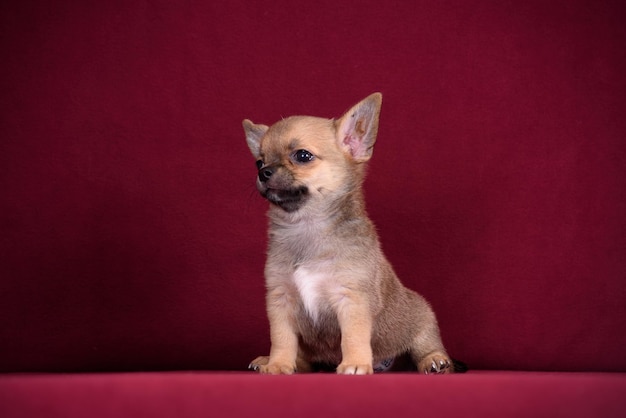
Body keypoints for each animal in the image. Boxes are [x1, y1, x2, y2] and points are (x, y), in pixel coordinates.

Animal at [241, 94, 450, 376]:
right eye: (259, 162)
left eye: (302, 155)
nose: (263, 172)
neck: (307, 226)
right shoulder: (280, 300)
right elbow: (282, 339)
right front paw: (278, 365)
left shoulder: (351, 299)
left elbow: (352, 336)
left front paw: (355, 364)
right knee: (303, 358)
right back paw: (271, 361)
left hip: (421, 322)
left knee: (426, 347)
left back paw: (435, 362)